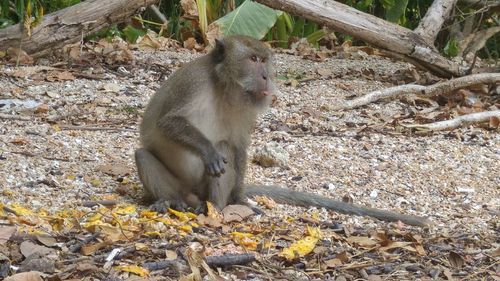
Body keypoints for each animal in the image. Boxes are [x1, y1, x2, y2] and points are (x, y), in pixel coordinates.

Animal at [135, 35, 432, 228]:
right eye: (253, 59)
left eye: (264, 60)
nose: (266, 76)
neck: (223, 87)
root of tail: (193, 195)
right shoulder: (192, 84)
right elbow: (168, 122)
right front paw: (207, 151)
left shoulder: (246, 108)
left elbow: (238, 147)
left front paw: (240, 197)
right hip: (180, 186)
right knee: (143, 155)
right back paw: (169, 201)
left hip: (203, 191)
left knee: (225, 149)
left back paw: (216, 208)